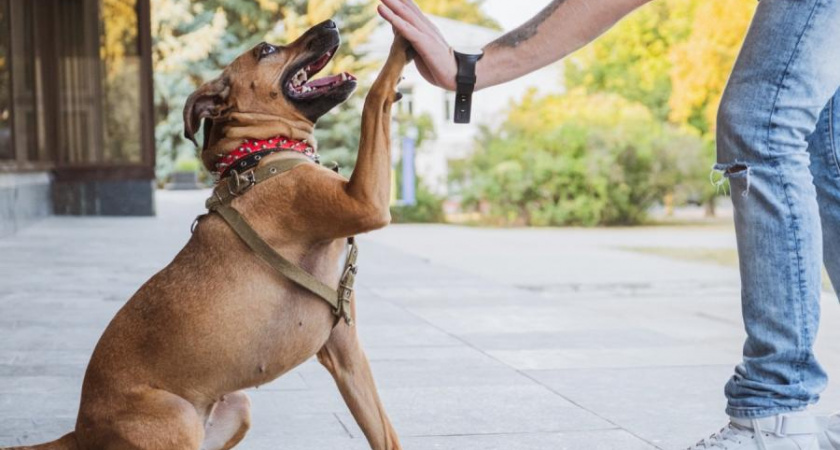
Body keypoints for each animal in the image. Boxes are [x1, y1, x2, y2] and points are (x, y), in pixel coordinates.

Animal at [4, 19, 410, 448]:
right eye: (266, 50)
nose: (331, 23)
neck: (261, 153)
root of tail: (80, 433)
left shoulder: (346, 353)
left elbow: (385, 433)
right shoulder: (365, 201)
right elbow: (375, 98)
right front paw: (403, 42)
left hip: (236, 407)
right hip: (179, 418)